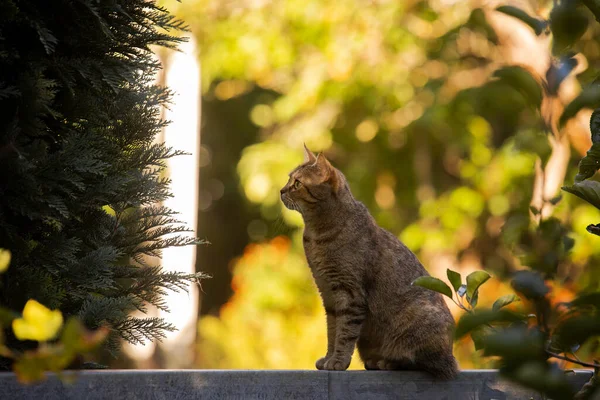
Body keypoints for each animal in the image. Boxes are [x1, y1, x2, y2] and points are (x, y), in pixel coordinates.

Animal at [278, 145, 458, 380]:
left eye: (297, 183)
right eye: (289, 179)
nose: (281, 190)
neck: (317, 233)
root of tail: (451, 355)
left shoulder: (350, 293)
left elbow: (344, 334)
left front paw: (338, 361)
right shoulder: (328, 293)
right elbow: (332, 331)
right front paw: (328, 358)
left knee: (422, 362)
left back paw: (387, 362)